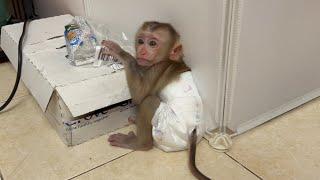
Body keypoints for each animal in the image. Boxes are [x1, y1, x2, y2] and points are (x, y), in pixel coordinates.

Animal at [101, 21, 209, 179]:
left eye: (152, 43)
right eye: (140, 41)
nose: (141, 51)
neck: (168, 60)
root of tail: (193, 133)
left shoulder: (157, 68)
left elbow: (140, 95)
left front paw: (122, 54)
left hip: (166, 131)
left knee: (149, 101)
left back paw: (139, 143)